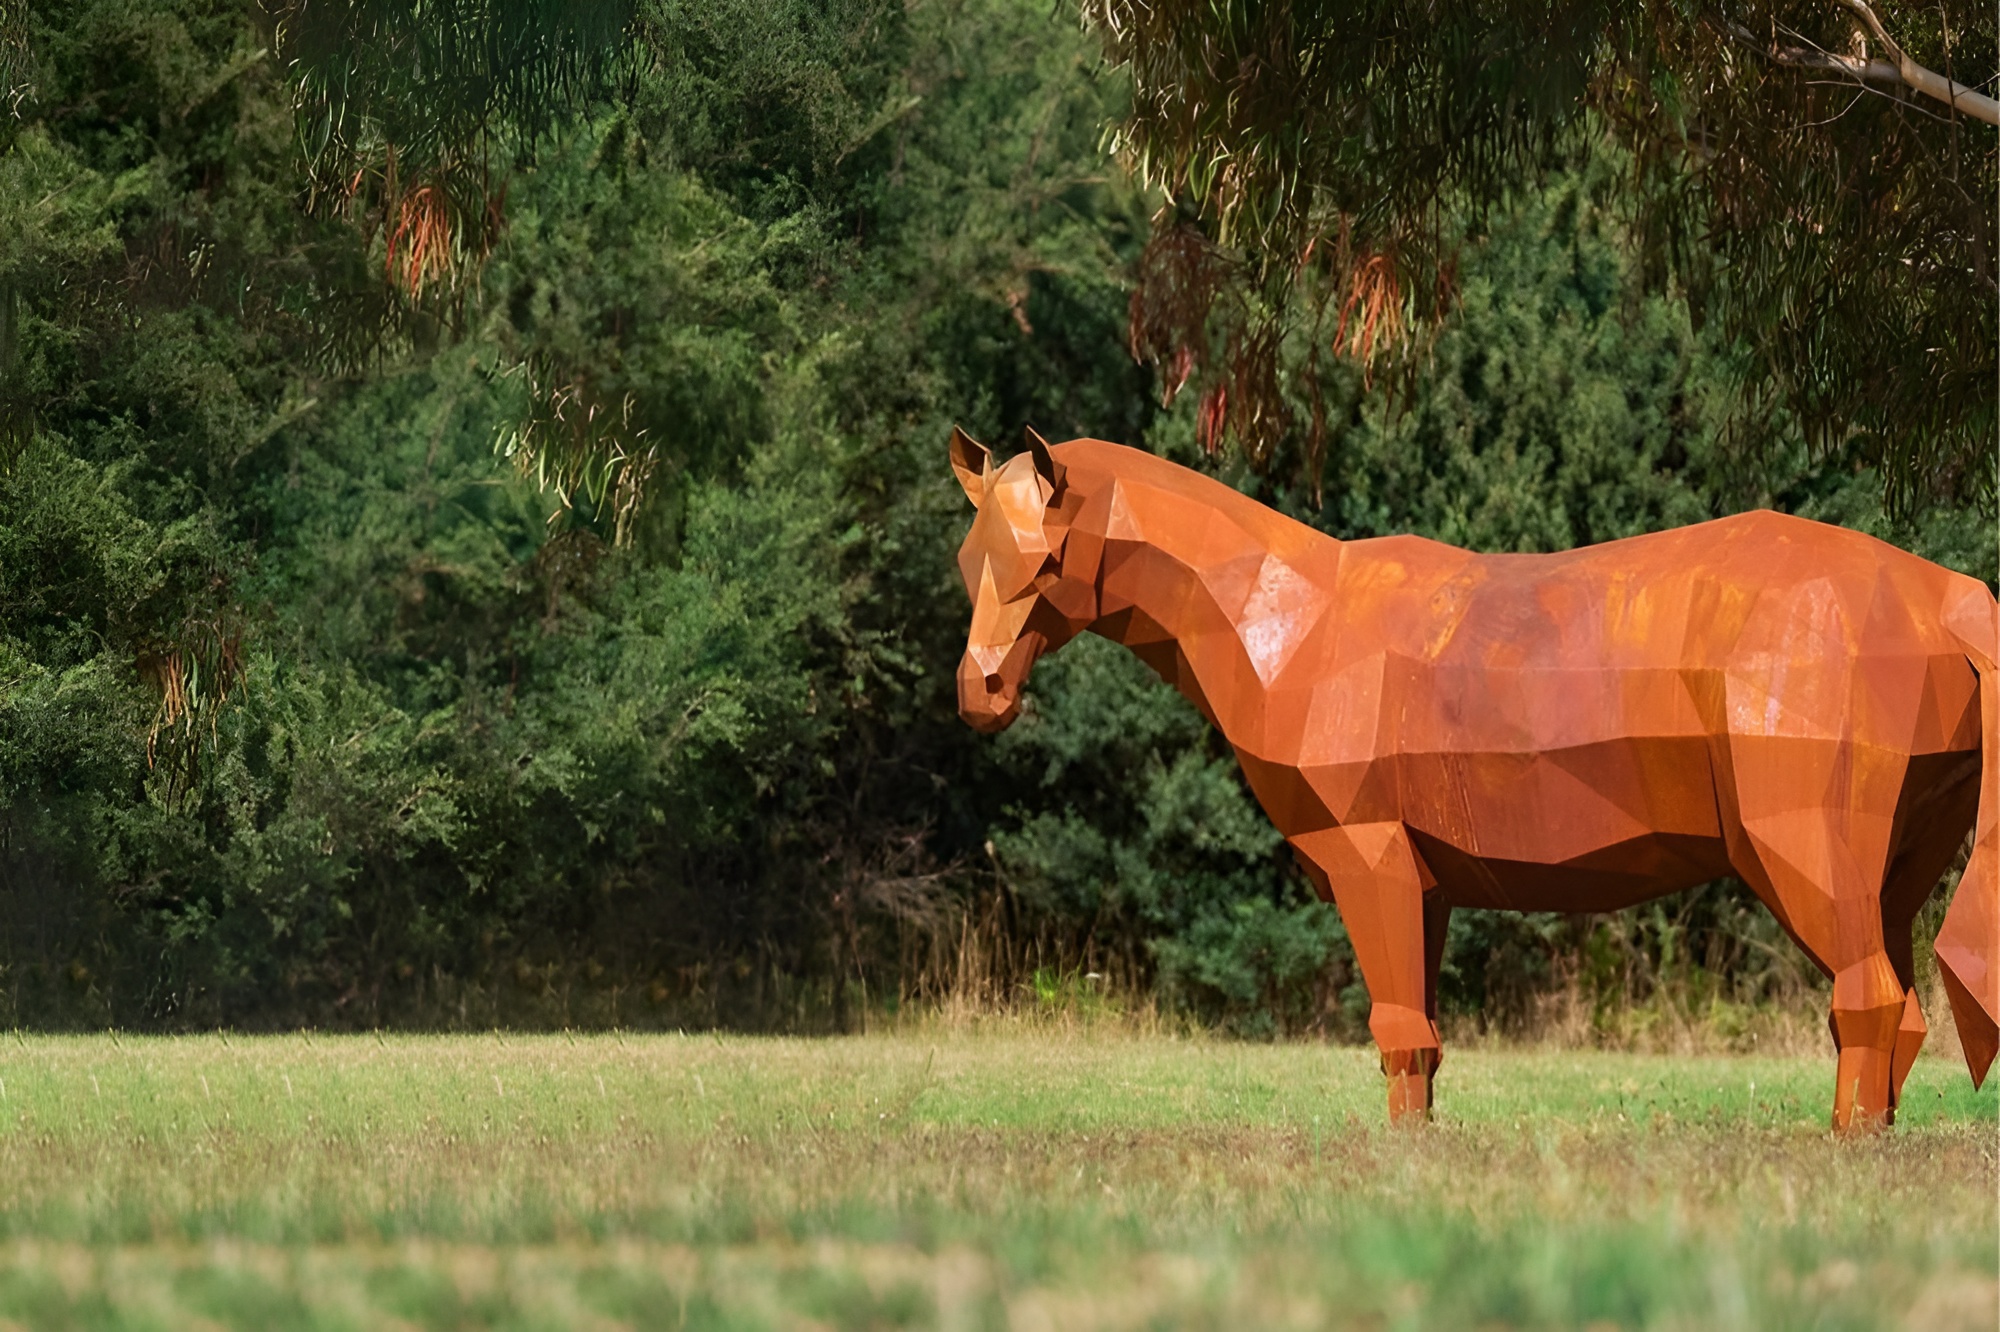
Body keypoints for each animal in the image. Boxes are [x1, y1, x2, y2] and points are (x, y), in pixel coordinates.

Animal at [944, 430, 1992, 1128]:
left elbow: (1398, 1026)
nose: (980, 692)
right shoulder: (1428, 882)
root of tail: (1937, 595)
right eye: (968, 559)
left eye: (1045, 559)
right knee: (1901, 1011)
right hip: (1895, 870)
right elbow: (1427, 1033)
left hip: (1801, 851)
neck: (1294, 625)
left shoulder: (1367, 859)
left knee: (1870, 1000)